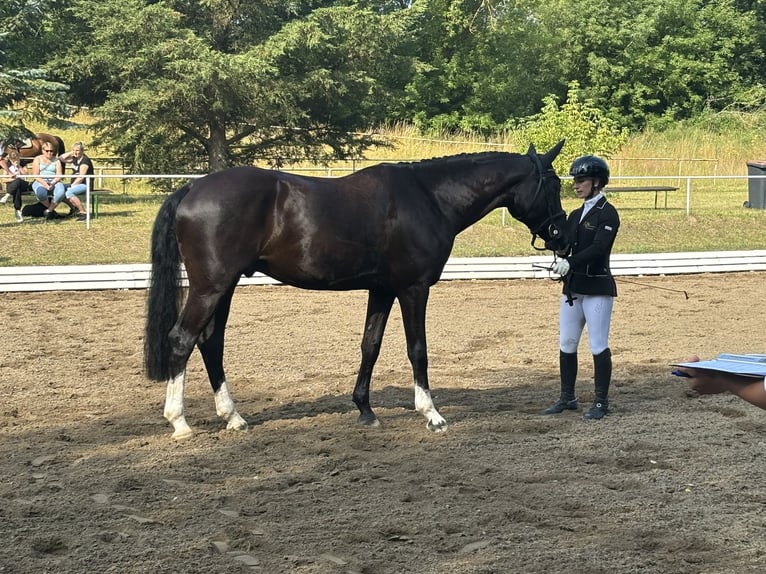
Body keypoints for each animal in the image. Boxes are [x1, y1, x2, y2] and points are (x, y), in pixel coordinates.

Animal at [144, 142, 568, 438]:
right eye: (552, 184)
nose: (561, 233)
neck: (430, 197)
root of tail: (191, 190)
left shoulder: (381, 290)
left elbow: (371, 346)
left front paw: (365, 410)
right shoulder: (413, 289)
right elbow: (418, 350)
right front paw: (431, 414)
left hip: (225, 287)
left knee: (210, 342)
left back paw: (233, 417)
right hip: (210, 287)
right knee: (182, 339)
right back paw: (180, 422)